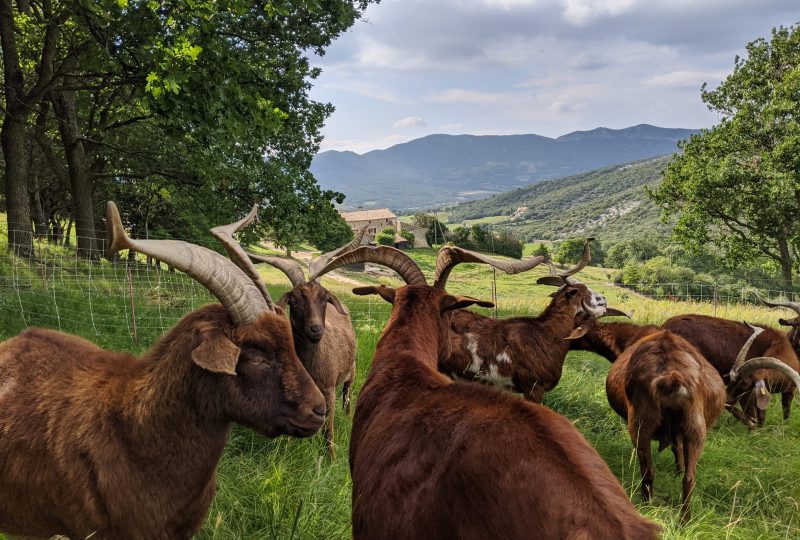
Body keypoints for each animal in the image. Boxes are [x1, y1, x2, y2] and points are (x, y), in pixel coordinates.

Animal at [238, 226, 362, 458]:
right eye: (294, 301)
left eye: (324, 299)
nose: (316, 329)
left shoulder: (328, 390)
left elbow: (328, 429)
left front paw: (331, 458)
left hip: (351, 370)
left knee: (348, 393)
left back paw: (349, 417)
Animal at [664, 312, 800, 426]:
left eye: (744, 383)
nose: (726, 397)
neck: (778, 347)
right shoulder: (749, 395)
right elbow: (753, 414)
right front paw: (752, 428)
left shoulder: (788, 390)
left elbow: (782, 413)